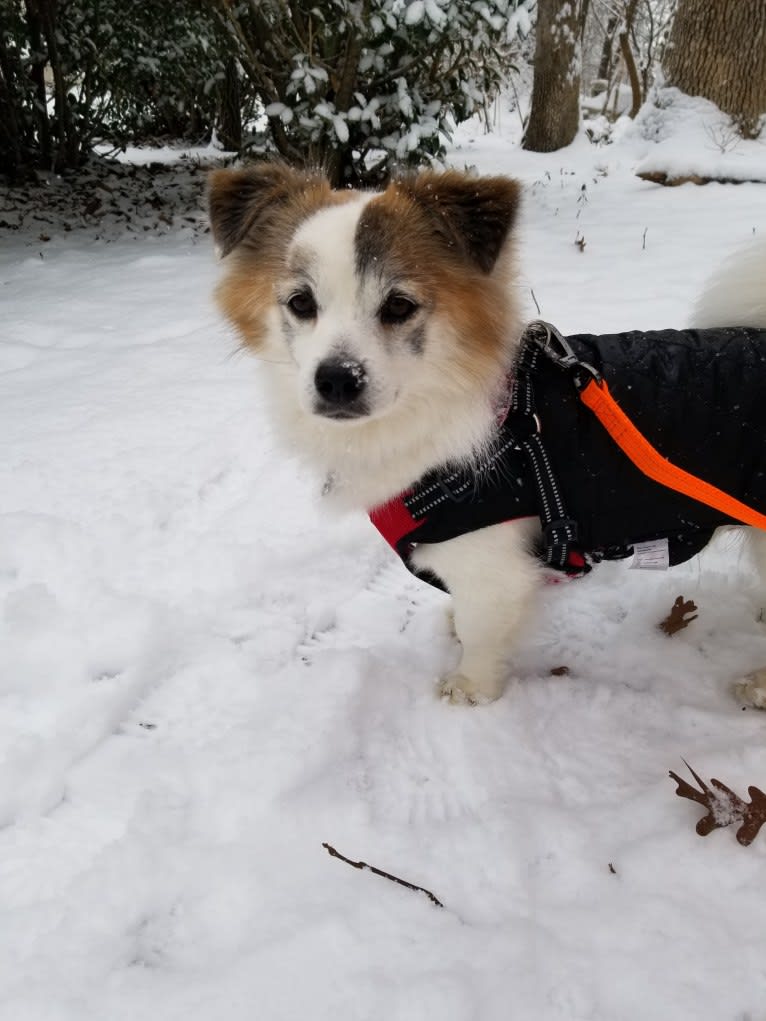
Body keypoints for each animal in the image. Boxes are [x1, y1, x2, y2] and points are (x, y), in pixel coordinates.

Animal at [207, 165, 766, 710]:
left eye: (398, 306)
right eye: (301, 303)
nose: (338, 380)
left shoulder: (488, 559)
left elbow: (482, 629)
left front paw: (471, 685)